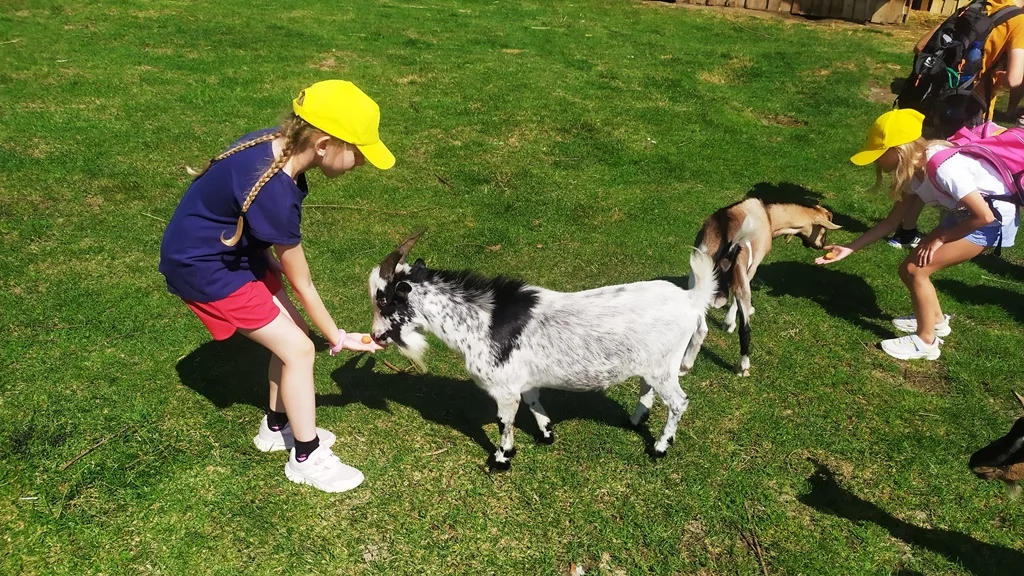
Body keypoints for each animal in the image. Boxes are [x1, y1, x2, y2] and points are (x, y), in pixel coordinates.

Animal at [372, 228, 716, 467]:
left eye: (384, 300)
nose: (375, 336)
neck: (484, 321)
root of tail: (691, 300)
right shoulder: (524, 380)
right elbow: (534, 400)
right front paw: (546, 434)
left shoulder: (504, 387)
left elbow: (505, 420)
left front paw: (502, 458)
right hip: (653, 363)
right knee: (648, 387)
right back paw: (635, 420)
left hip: (665, 368)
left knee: (678, 402)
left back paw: (659, 447)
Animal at [679, 196, 839, 377]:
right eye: (824, 230)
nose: (822, 246)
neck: (768, 215)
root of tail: (728, 245)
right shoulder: (752, 268)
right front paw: (730, 322)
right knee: (745, 330)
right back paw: (743, 367)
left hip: (698, 278)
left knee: (700, 328)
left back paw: (685, 366)